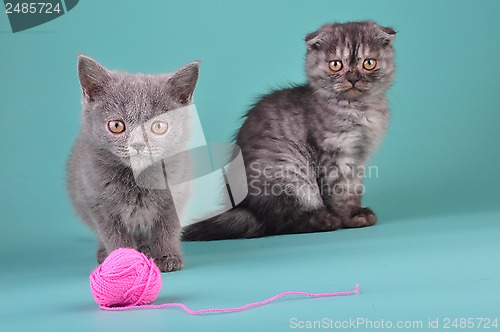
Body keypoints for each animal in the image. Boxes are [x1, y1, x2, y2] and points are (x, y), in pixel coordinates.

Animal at [67, 55, 199, 272]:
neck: (137, 180)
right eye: (116, 125)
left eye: (159, 126)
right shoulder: (97, 203)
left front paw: (167, 256)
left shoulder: (175, 197)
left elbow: (168, 229)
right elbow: (113, 235)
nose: (138, 144)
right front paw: (125, 259)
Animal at [182, 20, 396, 240]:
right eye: (336, 64)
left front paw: (357, 212)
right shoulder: (335, 155)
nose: (352, 78)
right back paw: (325, 219)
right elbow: (341, 193)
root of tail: (247, 209)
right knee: (280, 222)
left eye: (368, 63)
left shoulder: (358, 158)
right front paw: (351, 217)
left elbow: (354, 189)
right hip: (289, 172)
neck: (357, 109)